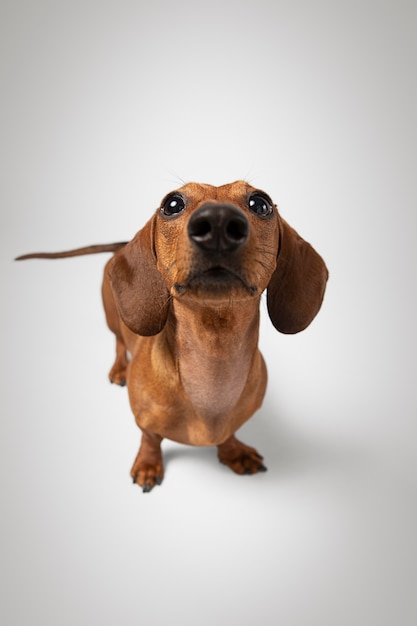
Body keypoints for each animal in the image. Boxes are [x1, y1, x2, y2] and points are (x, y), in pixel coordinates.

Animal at [17, 180, 328, 492]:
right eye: (172, 204)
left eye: (260, 203)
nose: (218, 221)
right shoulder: (145, 420)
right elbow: (150, 437)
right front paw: (148, 464)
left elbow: (228, 434)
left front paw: (233, 452)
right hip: (113, 318)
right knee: (118, 342)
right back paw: (119, 369)